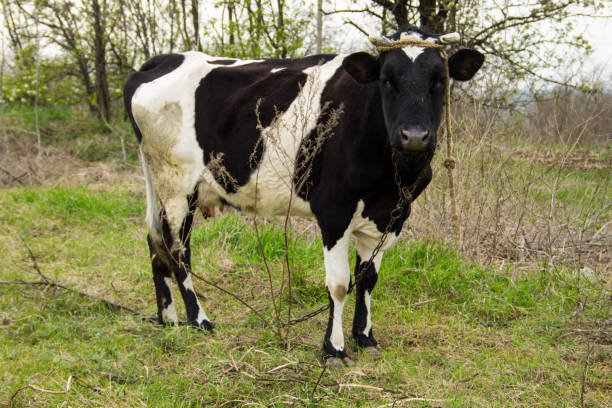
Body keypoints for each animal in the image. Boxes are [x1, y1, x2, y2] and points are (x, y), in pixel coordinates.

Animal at [123, 24, 482, 364]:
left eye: (439, 81)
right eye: (386, 80)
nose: (415, 136)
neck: (394, 179)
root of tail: (165, 59)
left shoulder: (390, 216)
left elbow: (367, 279)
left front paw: (365, 337)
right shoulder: (334, 211)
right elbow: (339, 283)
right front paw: (334, 348)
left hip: (161, 182)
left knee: (154, 241)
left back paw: (169, 318)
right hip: (177, 184)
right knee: (177, 250)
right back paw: (199, 320)